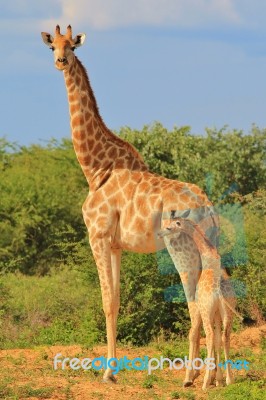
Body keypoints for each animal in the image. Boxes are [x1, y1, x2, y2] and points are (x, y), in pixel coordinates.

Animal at [41, 24, 219, 384]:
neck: (97, 168)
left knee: (194, 300)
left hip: (182, 249)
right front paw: (113, 369)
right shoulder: (115, 244)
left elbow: (106, 300)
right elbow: (118, 300)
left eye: (72, 46)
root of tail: (208, 206)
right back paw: (206, 375)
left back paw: (191, 376)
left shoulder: (96, 235)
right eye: (53, 46)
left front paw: (107, 373)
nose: (61, 61)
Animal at [158, 217, 239, 390]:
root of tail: (218, 291)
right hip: (228, 313)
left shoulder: (207, 311)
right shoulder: (217, 314)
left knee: (208, 336)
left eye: (169, 227)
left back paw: (205, 382)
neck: (208, 255)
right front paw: (220, 380)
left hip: (205, 311)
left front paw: (212, 379)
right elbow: (219, 339)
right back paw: (230, 379)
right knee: (225, 337)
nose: (159, 233)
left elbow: (208, 337)